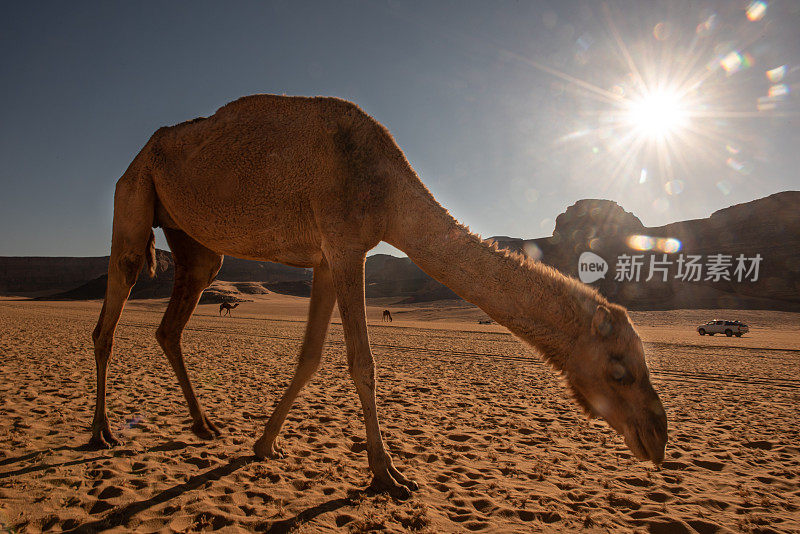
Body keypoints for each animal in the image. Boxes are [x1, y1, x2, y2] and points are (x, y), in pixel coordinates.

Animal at [89, 94, 668, 500]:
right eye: (620, 368)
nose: (658, 436)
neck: (387, 189)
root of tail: (138, 156)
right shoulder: (347, 246)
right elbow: (361, 362)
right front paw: (387, 475)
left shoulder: (326, 257)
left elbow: (310, 356)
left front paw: (264, 443)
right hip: (134, 193)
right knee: (113, 304)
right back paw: (101, 433)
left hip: (196, 244)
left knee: (174, 317)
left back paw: (204, 425)